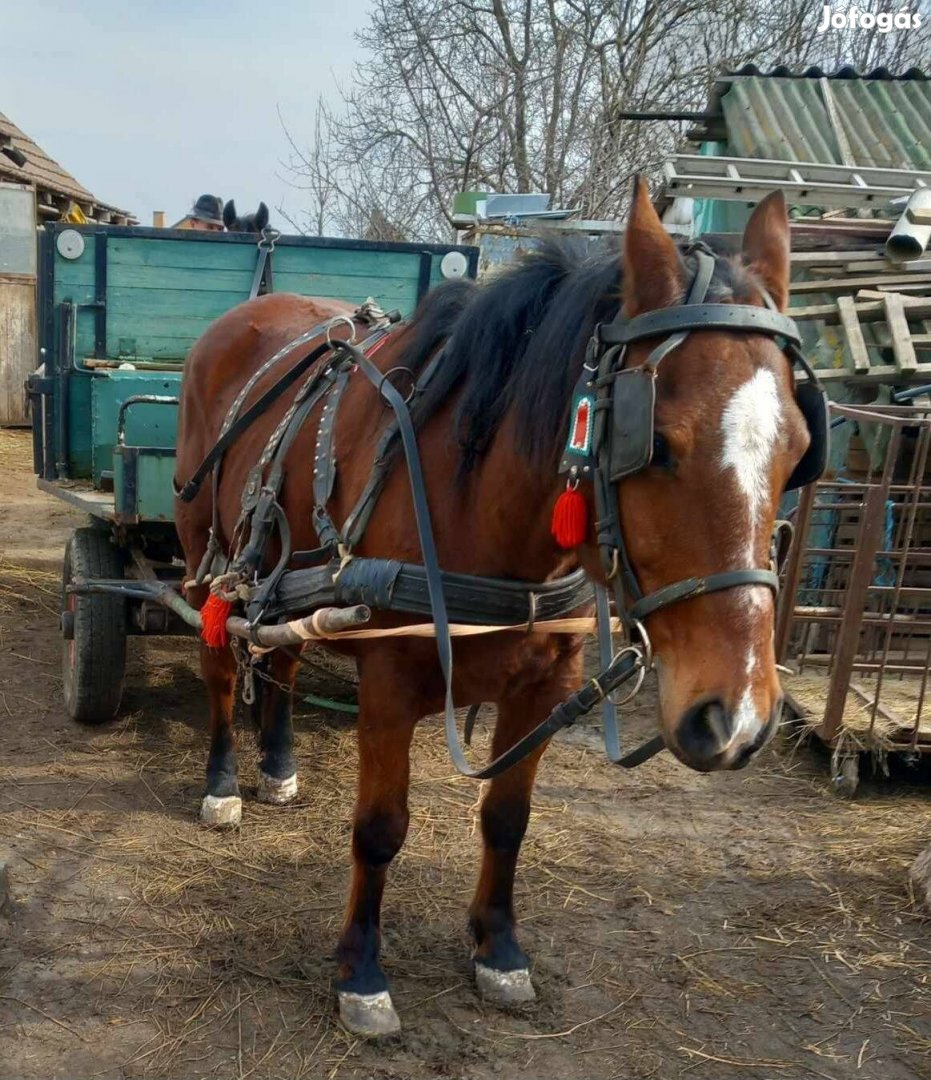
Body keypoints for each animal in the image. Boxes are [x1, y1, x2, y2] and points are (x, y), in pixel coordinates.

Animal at [172, 185, 807, 1036]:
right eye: (656, 444)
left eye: (798, 448)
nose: (733, 719)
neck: (482, 501)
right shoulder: (391, 681)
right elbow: (380, 828)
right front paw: (360, 971)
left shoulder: (545, 684)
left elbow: (508, 818)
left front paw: (497, 950)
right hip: (205, 557)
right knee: (219, 664)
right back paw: (222, 783)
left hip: (291, 569)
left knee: (282, 658)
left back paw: (276, 766)